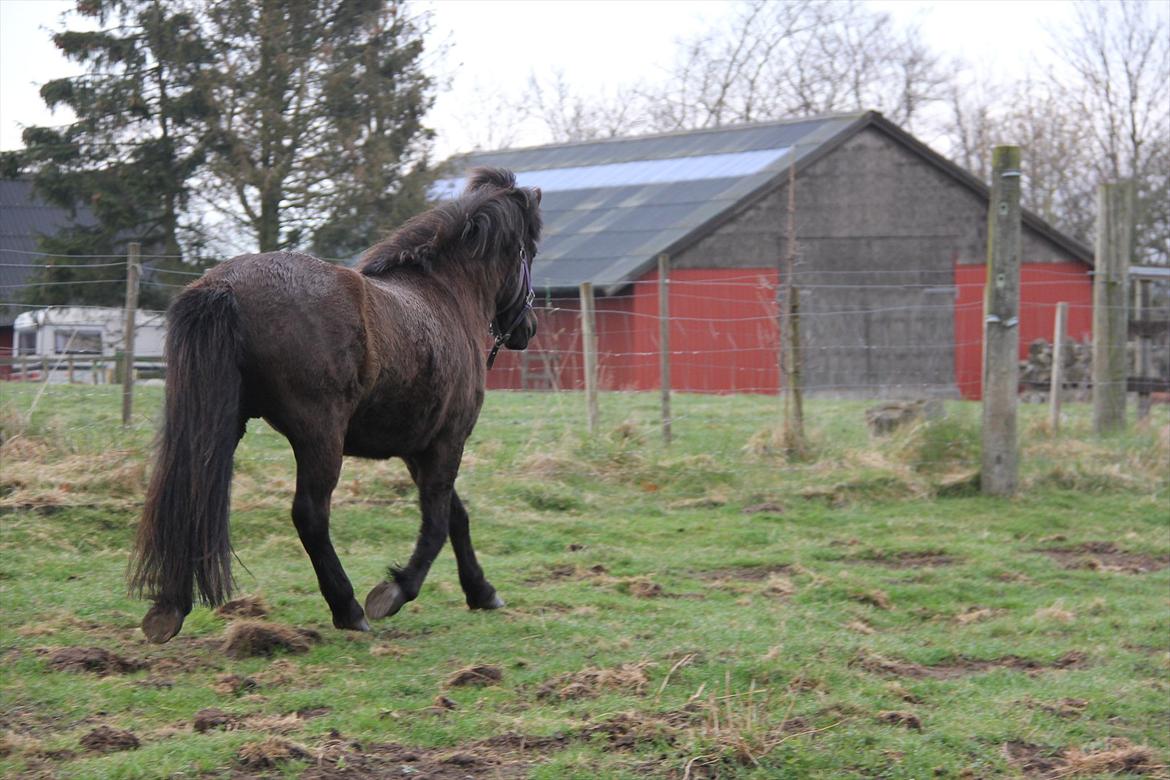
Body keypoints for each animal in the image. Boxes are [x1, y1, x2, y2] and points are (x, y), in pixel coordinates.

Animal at [130, 168, 540, 645]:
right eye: (529, 252)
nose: (528, 327)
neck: (446, 296)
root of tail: (223, 286)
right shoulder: (447, 440)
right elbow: (438, 522)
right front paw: (395, 591)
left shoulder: (417, 449)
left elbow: (455, 515)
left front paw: (481, 590)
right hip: (319, 435)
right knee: (310, 515)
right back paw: (348, 608)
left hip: (218, 424)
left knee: (190, 495)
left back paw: (169, 607)